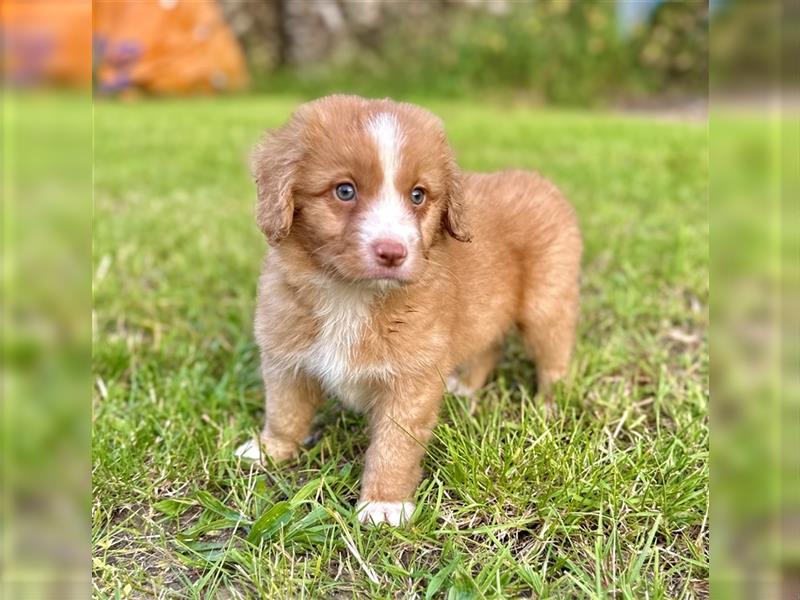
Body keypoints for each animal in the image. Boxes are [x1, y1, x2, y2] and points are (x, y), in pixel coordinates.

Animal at [238, 95, 580, 524]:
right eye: (344, 191)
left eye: (418, 195)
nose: (393, 252)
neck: (350, 295)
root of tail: (539, 181)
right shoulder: (285, 358)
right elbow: (284, 412)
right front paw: (270, 449)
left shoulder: (411, 378)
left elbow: (393, 447)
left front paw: (384, 503)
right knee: (489, 345)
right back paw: (467, 387)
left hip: (545, 306)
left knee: (554, 359)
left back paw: (549, 406)